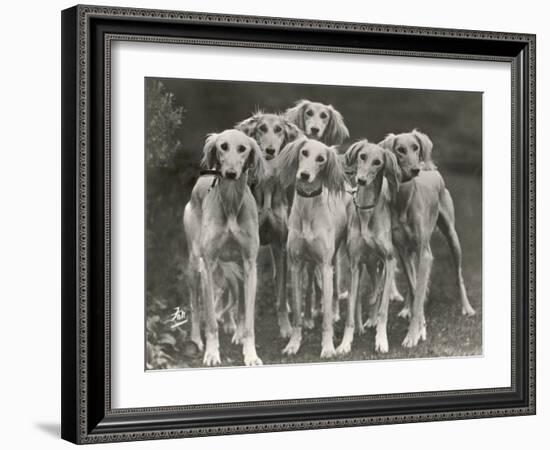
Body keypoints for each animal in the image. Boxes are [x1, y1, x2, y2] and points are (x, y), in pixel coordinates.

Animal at [234, 111, 302, 338]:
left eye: (279, 129)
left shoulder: (280, 244)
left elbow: (281, 291)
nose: (270, 150)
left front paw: (286, 327)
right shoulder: (245, 248)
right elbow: (243, 298)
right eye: (261, 128)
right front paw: (240, 330)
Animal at [280, 135, 350, 356]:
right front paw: (293, 344)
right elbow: (296, 314)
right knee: (310, 285)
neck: (308, 210)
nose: (304, 175)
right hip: (309, 263)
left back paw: (334, 312)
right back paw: (310, 316)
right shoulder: (295, 264)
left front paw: (328, 347)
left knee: (334, 290)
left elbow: (326, 317)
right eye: (304, 152)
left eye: (321, 159)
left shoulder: (326, 266)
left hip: (337, 257)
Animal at [336, 139, 402, 354]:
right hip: (367, 264)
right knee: (365, 293)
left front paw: (381, 340)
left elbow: (383, 308)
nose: (361, 180)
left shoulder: (389, 260)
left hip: (379, 263)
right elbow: (351, 307)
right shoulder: (355, 264)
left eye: (378, 162)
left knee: (379, 290)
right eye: (362, 156)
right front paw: (345, 343)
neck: (366, 211)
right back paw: (362, 324)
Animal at [380, 128, 478, 346]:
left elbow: (419, 292)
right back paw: (407, 308)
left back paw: (467, 308)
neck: (405, 200)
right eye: (400, 150)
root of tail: (430, 169)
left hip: (452, 237)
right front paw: (419, 325)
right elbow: (415, 288)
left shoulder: (424, 254)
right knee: (413, 285)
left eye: (415, 147)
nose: (416, 169)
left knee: (458, 275)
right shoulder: (403, 251)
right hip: (409, 252)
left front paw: (413, 334)